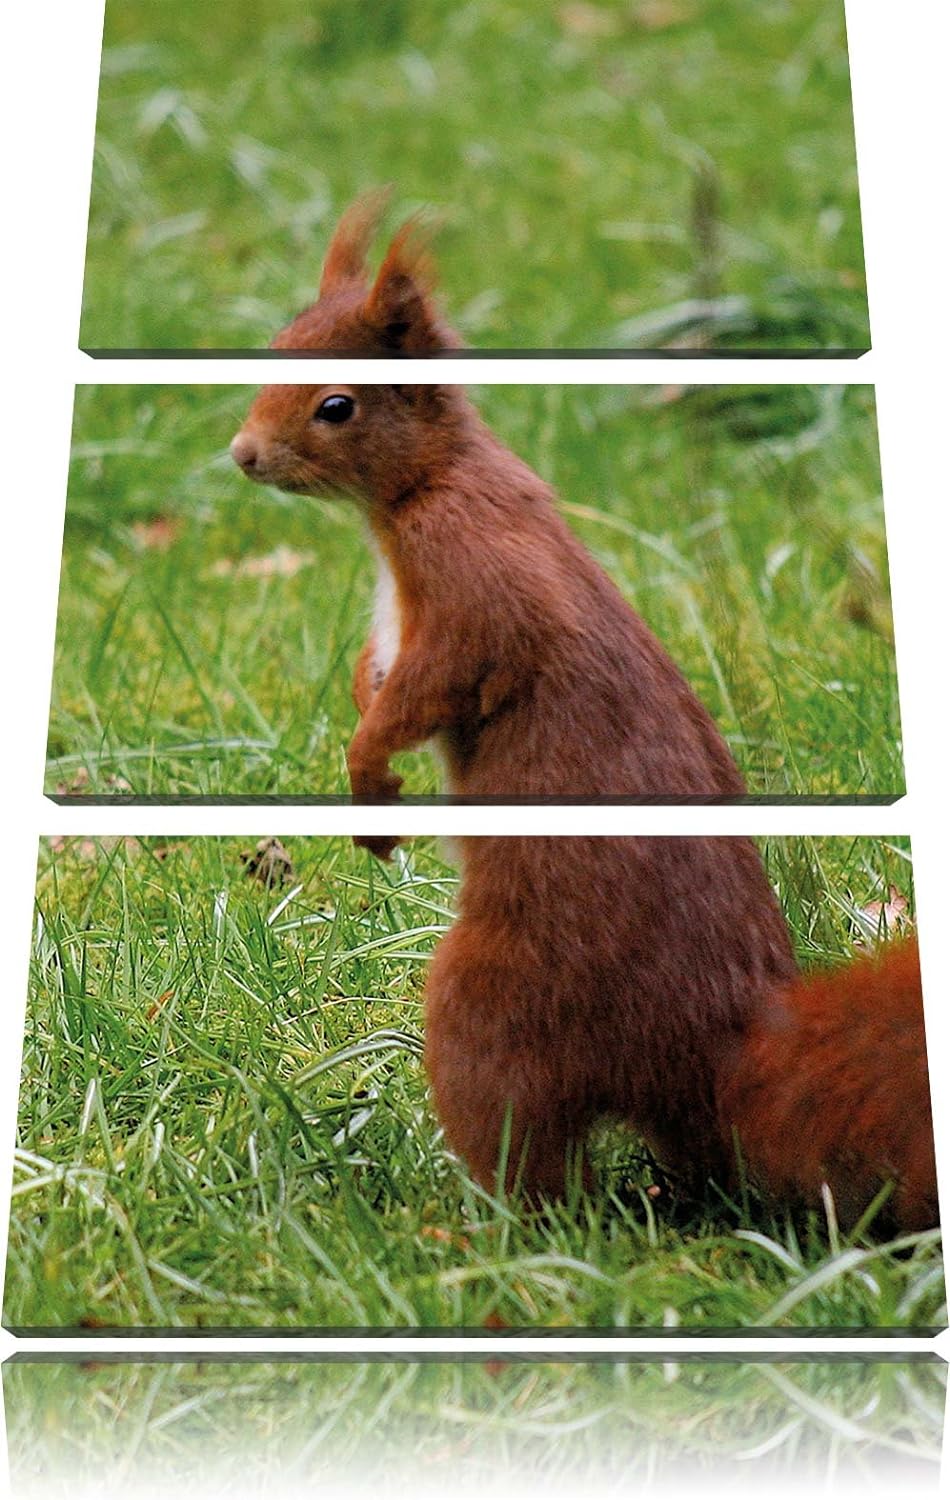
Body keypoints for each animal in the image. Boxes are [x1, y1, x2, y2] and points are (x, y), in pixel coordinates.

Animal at [232, 194, 746, 821]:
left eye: (335, 407)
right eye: (276, 347)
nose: (243, 453)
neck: (431, 479)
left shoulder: (465, 562)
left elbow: (456, 663)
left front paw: (367, 756)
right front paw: (361, 685)